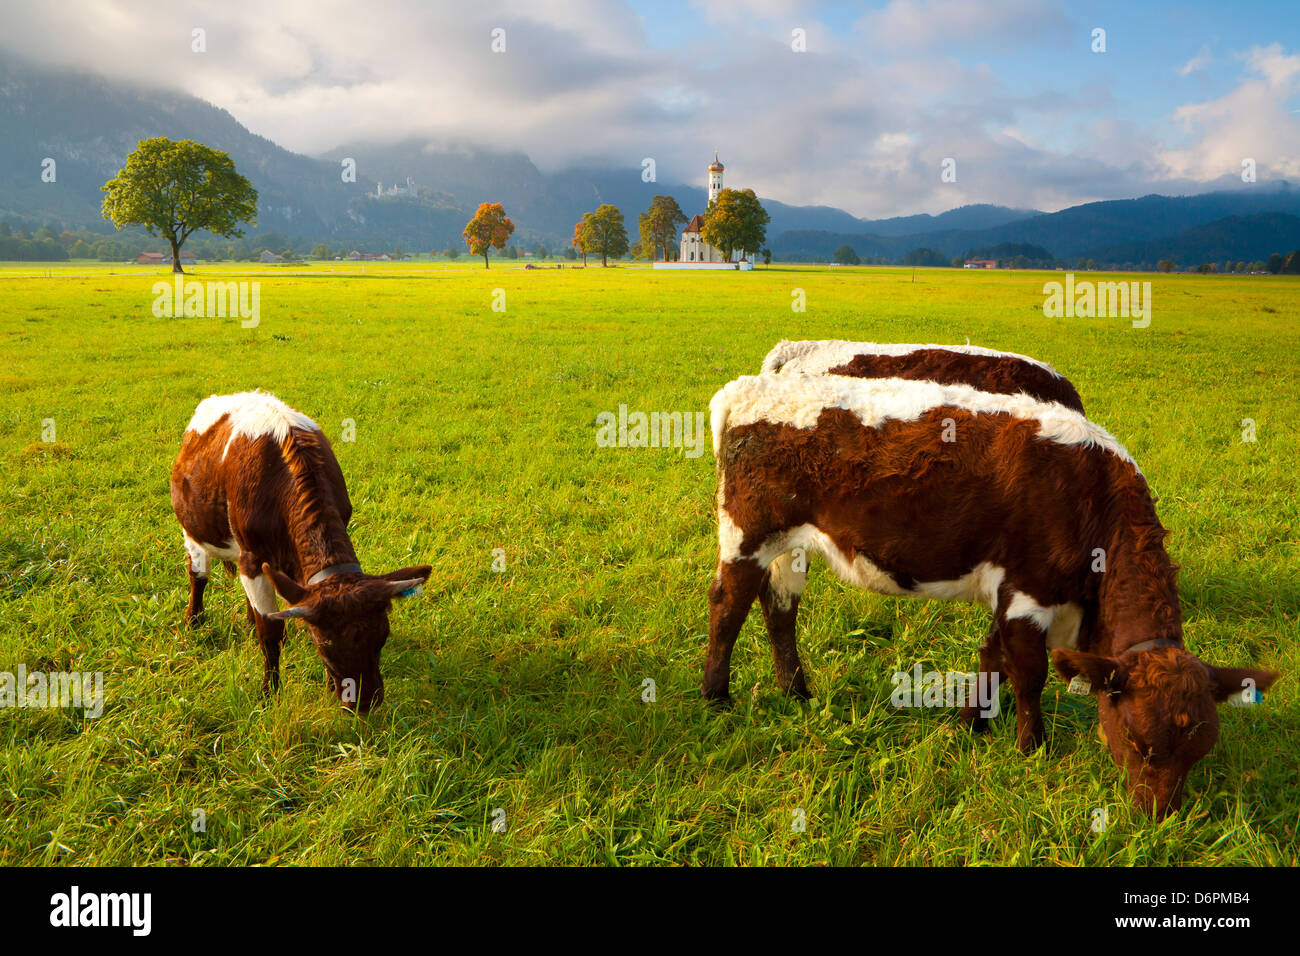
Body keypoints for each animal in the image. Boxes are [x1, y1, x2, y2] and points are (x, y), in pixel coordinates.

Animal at [170, 391, 430, 712]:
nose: (365, 702)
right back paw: (194, 620)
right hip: (192, 530)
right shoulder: (254, 558)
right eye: (324, 644)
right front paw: (269, 693)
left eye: (383, 634)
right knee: (198, 576)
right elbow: (270, 634)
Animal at [704, 373, 1277, 816]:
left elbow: (992, 659)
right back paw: (716, 697)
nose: (1158, 818)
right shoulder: (1029, 593)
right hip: (746, 533)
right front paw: (1032, 748)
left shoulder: (1014, 594)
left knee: (779, 608)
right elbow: (1028, 674)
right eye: (1138, 742)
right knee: (727, 607)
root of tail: (749, 387)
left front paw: (970, 726)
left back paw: (796, 692)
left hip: (789, 547)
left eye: (1201, 751)